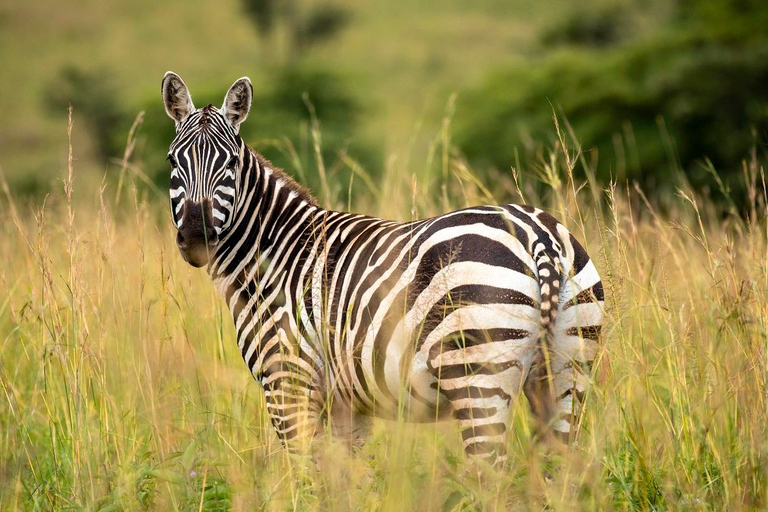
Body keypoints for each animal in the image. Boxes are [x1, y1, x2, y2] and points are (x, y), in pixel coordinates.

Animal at [162, 73, 608, 468]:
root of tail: (538, 234)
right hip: (569, 369)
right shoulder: (346, 403)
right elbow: (348, 480)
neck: (277, 253)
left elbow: (303, 477)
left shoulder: (288, 382)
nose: (197, 235)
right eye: (172, 160)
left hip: (477, 374)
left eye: (232, 163)